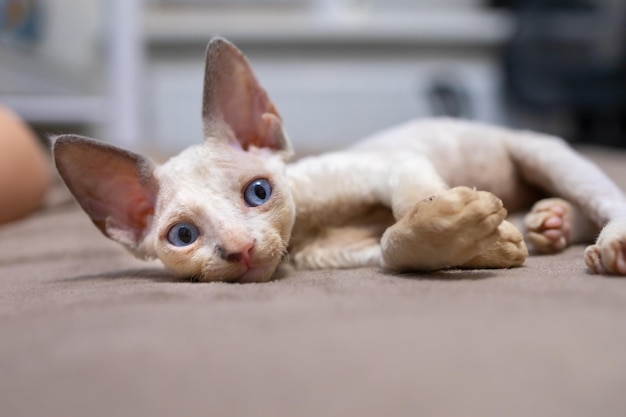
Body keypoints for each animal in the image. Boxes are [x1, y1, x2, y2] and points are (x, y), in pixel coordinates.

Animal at [52, 37, 624, 282]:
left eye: (259, 192)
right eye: (183, 236)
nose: (240, 249)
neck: (307, 231)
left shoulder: (392, 163)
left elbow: (413, 202)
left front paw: (461, 226)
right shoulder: (352, 254)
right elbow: (394, 245)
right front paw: (472, 241)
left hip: (541, 152)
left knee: (606, 197)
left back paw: (606, 245)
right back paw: (548, 223)